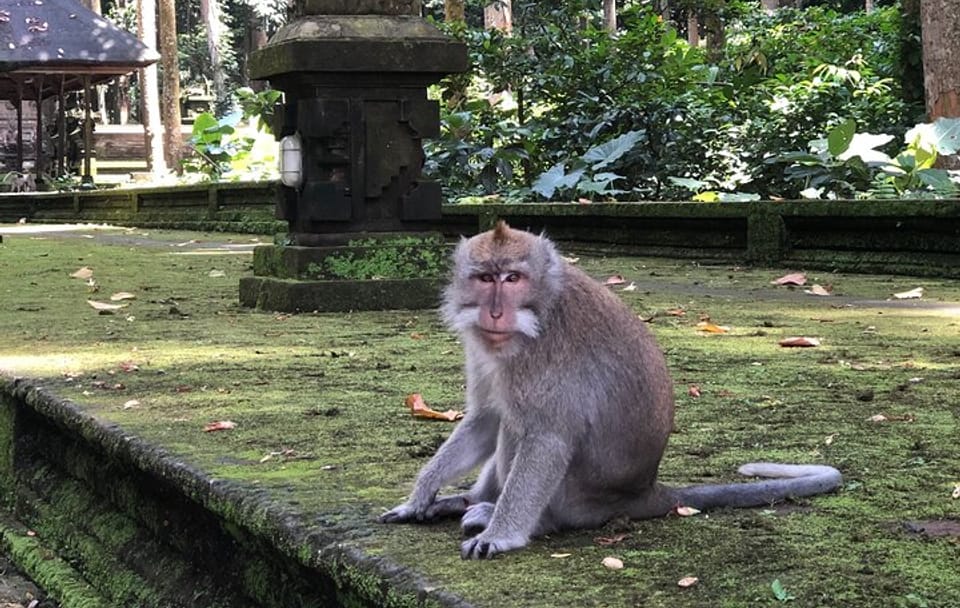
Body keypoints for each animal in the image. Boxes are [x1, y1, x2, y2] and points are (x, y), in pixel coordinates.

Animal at [380, 221, 842, 559]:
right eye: (484, 278)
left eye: (512, 278)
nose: (494, 313)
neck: (539, 311)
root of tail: (644, 491)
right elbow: (485, 418)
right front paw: (420, 496)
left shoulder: (547, 355)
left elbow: (546, 439)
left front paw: (502, 536)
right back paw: (466, 501)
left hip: (576, 499)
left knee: (525, 429)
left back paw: (519, 519)